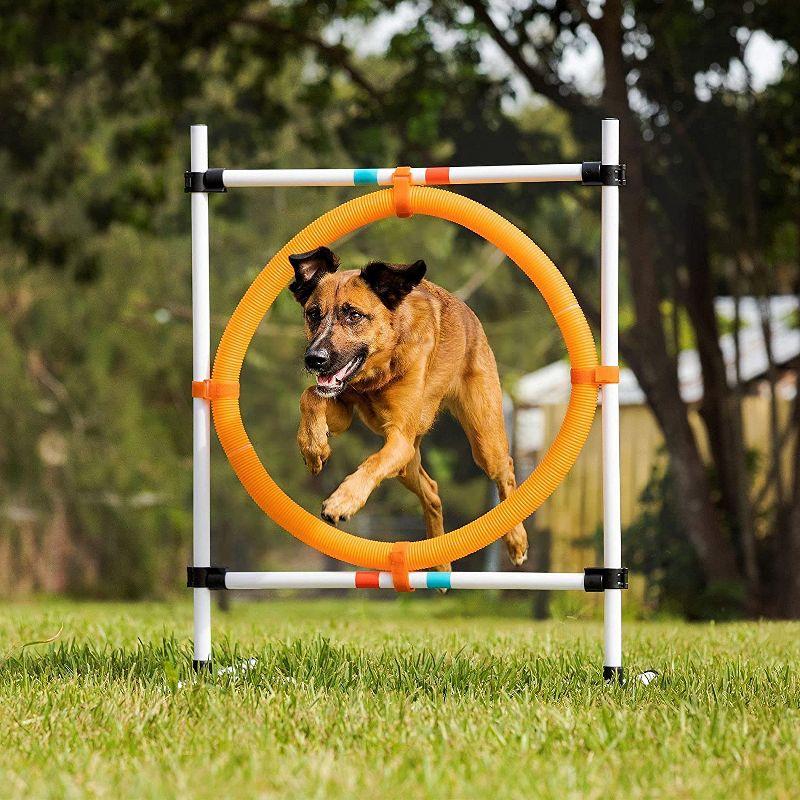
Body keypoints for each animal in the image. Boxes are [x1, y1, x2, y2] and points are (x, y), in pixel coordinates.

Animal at [290, 245, 528, 568]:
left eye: (353, 315)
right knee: (432, 492)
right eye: (313, 314)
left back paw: (517, 541)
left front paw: (343, 500)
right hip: (407, 464)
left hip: (484, 440)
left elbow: (373, 461)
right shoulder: (343, 409)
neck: (378, 374)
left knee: (506, 471)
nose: (314, 359)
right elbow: (310, 396)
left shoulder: (399, 438)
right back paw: (439, 560)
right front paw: (314, 448)